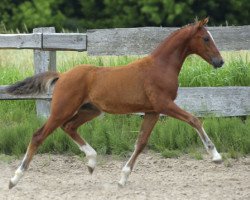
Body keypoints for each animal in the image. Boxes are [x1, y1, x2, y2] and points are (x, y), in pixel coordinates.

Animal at [7, 17, 223, 189]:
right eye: (206, 38)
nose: (220, 62)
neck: (160, 67)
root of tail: (62, 75)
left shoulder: (152, 111)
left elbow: (141, 142)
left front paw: (122, 178)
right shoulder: (164, 105)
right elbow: (194, 120)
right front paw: (216, 156)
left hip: (90, 110)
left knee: (69, 127)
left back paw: (92, 162)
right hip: (63, 109)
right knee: (39, 135)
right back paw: (14, 179)